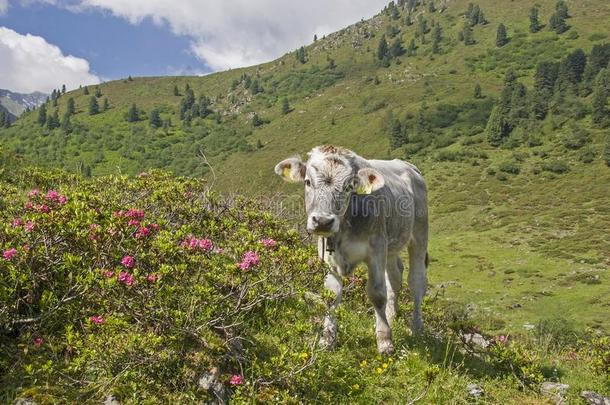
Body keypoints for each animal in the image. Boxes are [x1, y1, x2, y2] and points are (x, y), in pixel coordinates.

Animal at [276, 146, 428, 354]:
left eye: (349, 187)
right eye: (307, 181)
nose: (323, 221)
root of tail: (408, 166)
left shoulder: (376, 250)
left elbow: (377, 294)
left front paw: (384, 341)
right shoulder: (327, 256)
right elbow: (331, 296)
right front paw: (327, 339)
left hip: (419, 236)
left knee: (416, 281)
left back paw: (417, 327)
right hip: (392, 246)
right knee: (395, 277)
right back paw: (392, 315)